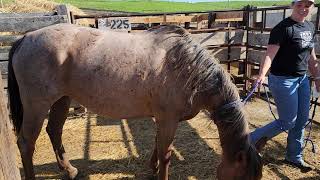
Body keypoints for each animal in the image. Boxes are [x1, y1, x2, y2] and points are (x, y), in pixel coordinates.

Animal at [8, 23, 262, 179]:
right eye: (243, 176)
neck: (189, 69)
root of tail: (25, 38)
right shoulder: (168, 119)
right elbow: (166, 154)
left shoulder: (164, 120)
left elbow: (158, 146)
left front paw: (152, 168)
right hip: (37, 106)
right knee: (26, 143)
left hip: (61, 100)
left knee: (54, 130)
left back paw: (69, 170)